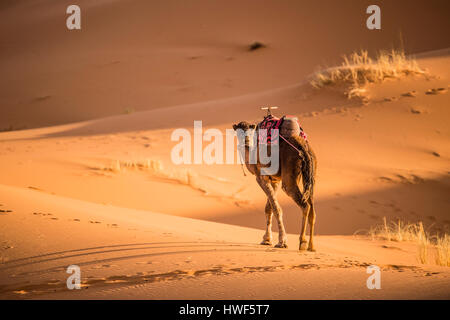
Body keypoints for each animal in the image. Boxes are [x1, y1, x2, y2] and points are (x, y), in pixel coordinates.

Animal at [234, 116, 318, 251]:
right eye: (239, 131)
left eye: (248, 130)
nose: (245, 140)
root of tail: (303, 148)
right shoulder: (274, 180)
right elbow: (269, 208)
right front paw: (266, 240)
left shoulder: (261, 178)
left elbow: (276, 208)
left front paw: (281, 242)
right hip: (311, 175)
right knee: (312, 211)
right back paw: (311, 246)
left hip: (289, 175)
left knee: (305, 205)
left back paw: (303, 242)